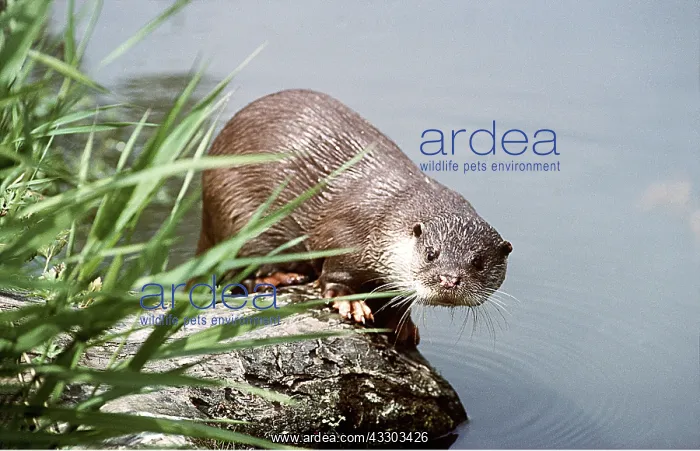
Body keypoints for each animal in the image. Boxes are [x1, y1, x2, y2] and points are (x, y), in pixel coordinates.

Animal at [197, 89, 512, 346]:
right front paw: (351, 304)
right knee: (237, 271)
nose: (449, 279)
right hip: (237, 213)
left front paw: (402, 324)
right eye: (431, 254)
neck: (385, 218)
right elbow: (334, 276)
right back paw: (280, 276)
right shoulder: (344, 235)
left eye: (478, 262)